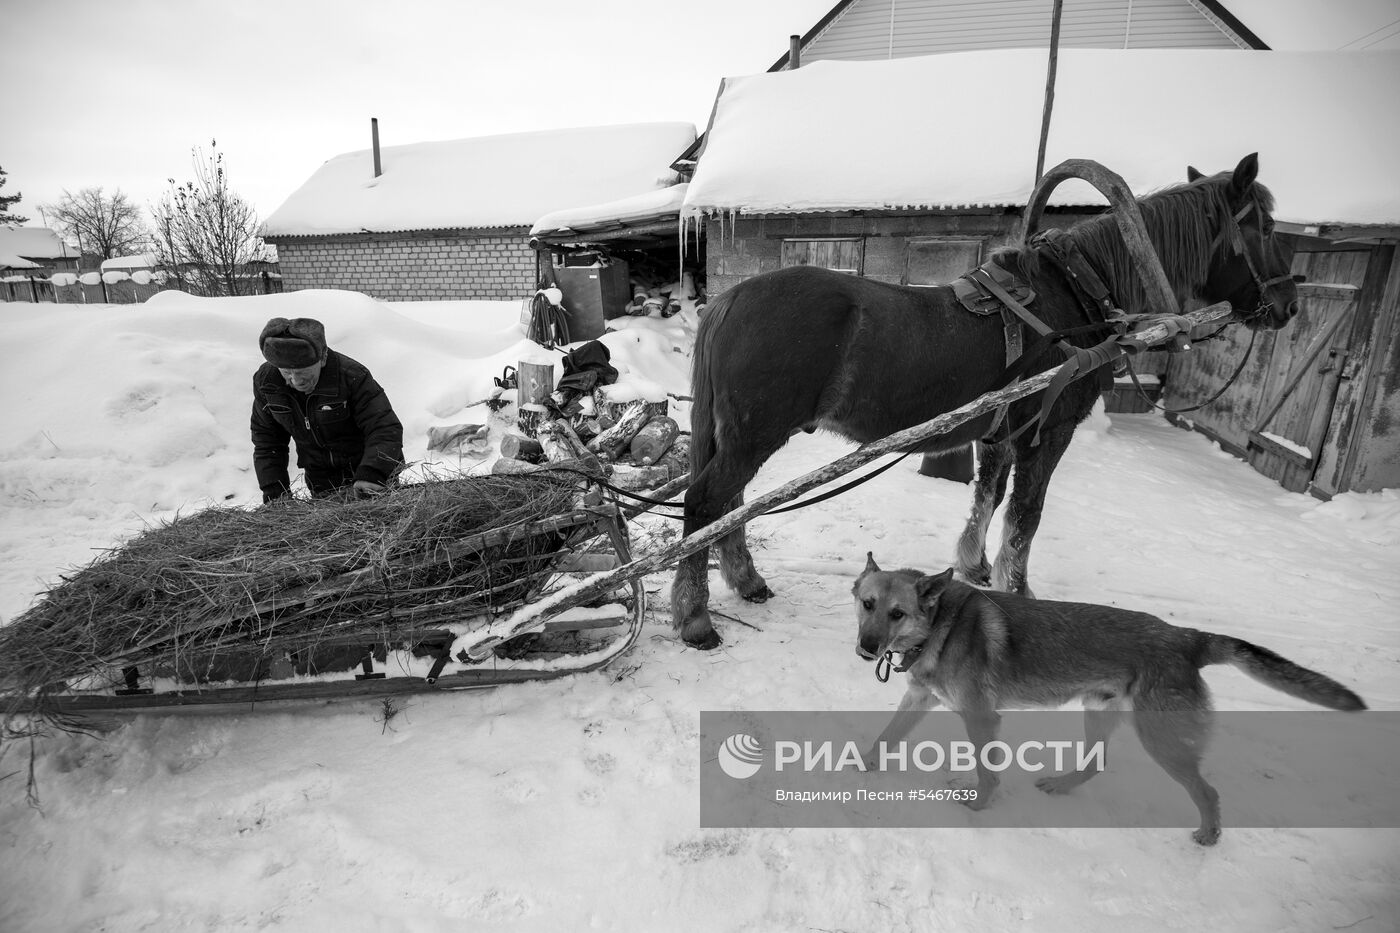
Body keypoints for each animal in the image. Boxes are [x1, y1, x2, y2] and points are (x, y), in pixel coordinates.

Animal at [672, 152, 1293, 647]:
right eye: (1264, 226)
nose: (1287, 304)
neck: (1070, 298)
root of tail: (729, 299)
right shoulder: (1047, 430)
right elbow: (1025, 514)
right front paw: (1020, 590)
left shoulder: (1002, 432)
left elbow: (988, 497)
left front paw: (975, 567)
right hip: (754, 434)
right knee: (705, 503)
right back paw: (696, 619)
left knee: (728, 505)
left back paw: (747, 582)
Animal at [851, 551, 1366, 840]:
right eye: (867, 604)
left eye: (898, 614)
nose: (866, 648)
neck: (941, 623)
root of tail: (1187, 638)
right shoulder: (921, 698)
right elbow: (885, 737)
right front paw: (862, 766)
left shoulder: (980, 718)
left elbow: (987, 774)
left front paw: (978, 806)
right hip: (1100, 713)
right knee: (1095, 764)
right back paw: (1062, 786)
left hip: (1161, 739)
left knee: (1208, 791)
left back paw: (1209, 835)